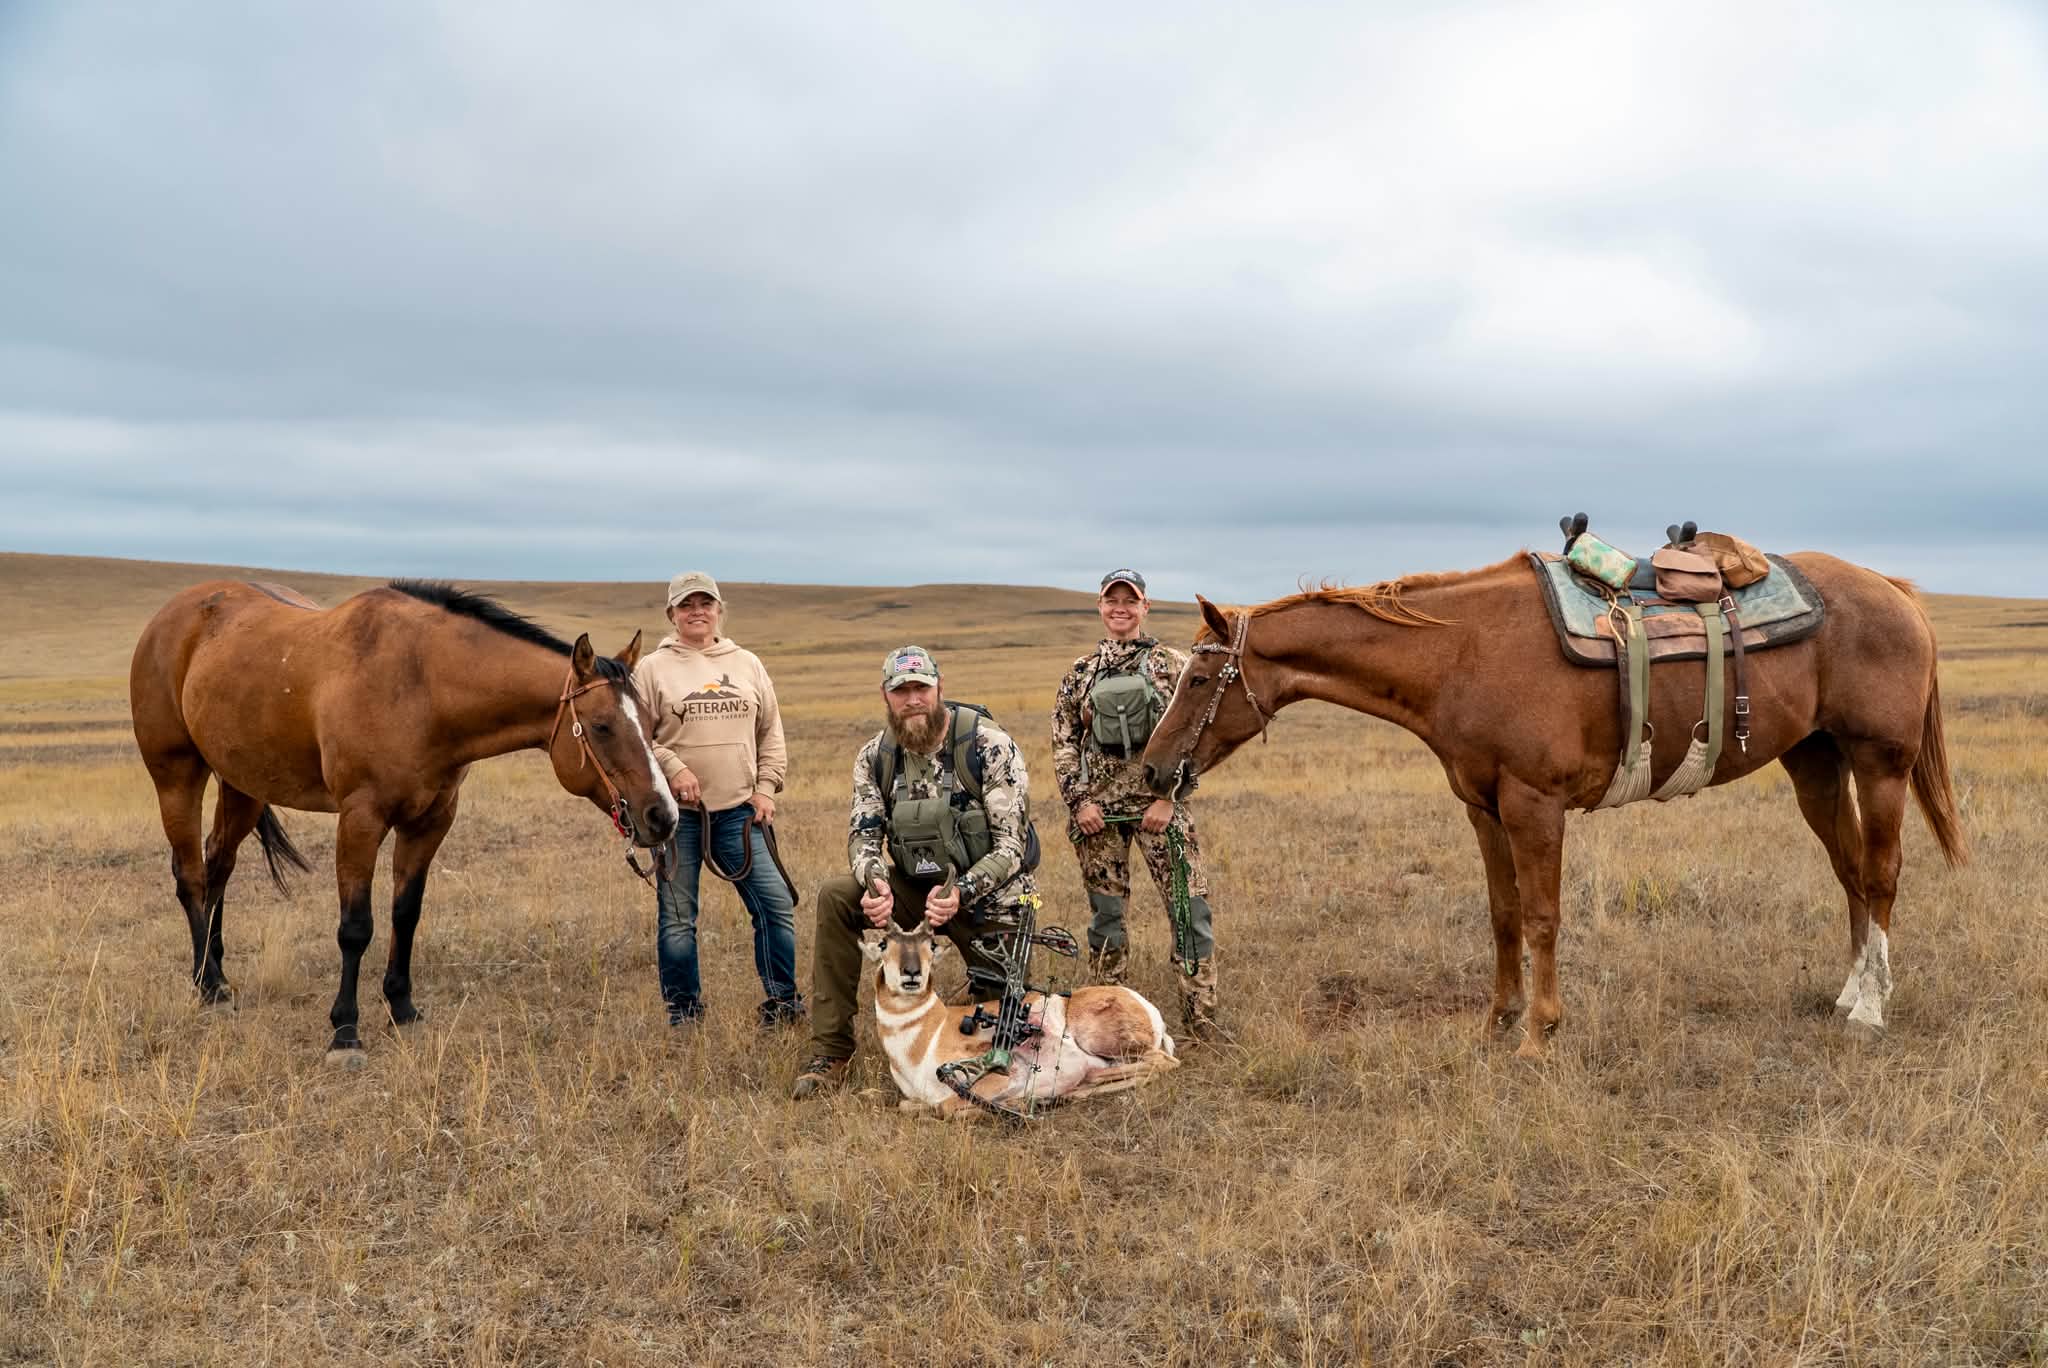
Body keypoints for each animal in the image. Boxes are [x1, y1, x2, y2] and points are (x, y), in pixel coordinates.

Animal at [862, 920, 1178, 1119]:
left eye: (930, 945)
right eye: (884, 944)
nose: (911, 973)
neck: (929, 1032)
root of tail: (1148, 1008)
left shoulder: (996, 1079)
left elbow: (945, 1107)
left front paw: (1019, 1103)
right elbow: (907, 1105)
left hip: (1102, 1042)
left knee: (1164, 1062)